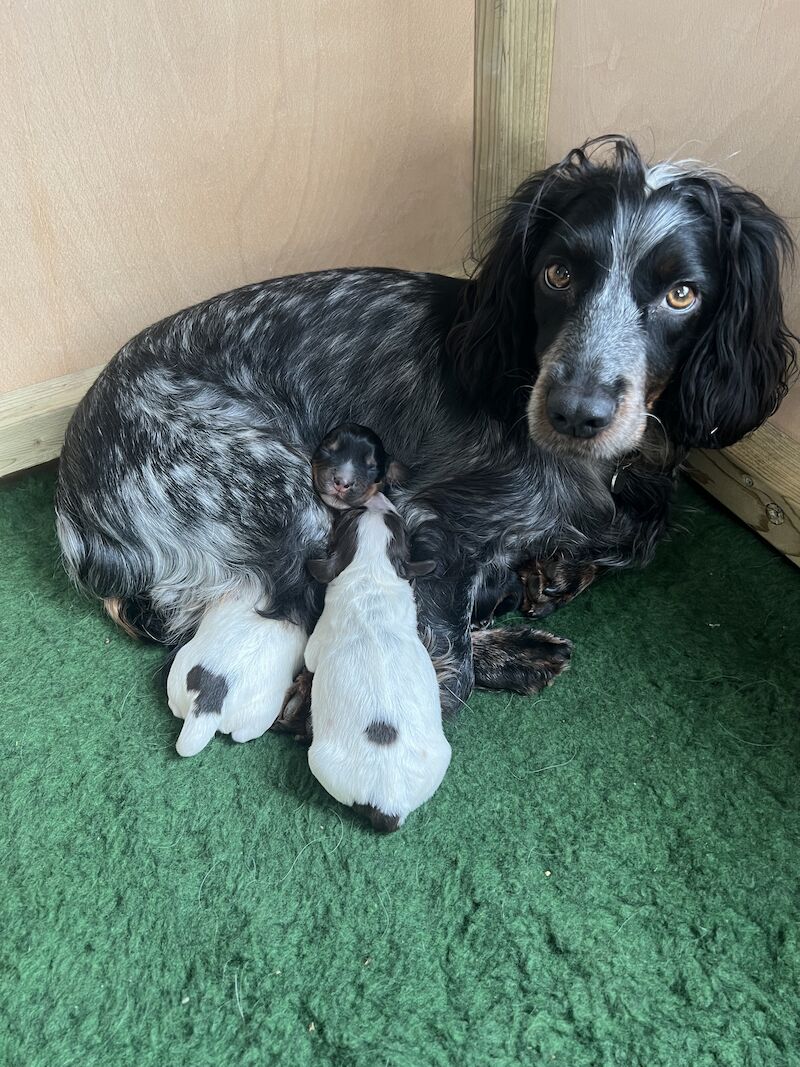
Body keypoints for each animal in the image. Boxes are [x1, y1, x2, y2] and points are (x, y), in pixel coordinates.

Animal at [56, 135, 797, 717]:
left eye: (681, 294)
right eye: (556, 274)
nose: (575, 413)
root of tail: (71, 498)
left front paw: (555, 571)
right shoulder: (424, 514)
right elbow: (442, 649)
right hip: (281, 485)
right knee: (315, 603)